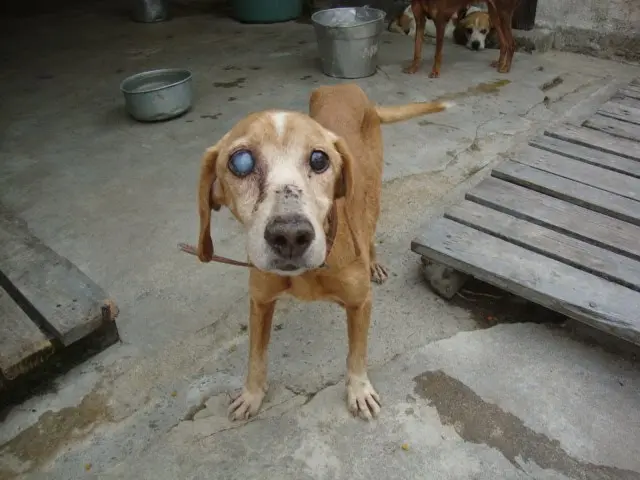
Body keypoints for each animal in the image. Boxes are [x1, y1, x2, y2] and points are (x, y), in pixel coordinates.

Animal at [194, 84, 452, 421]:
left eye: (319, 159)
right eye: (241, 163)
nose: (290, 235)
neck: (309, 274)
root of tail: (347, 87)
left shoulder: (360, 303)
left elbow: (356, 355)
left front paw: (359, 391)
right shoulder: (260, 302)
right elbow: (256, 356)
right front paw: (251, 394)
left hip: (373, 193)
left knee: (369, 227)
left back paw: (374, 263)